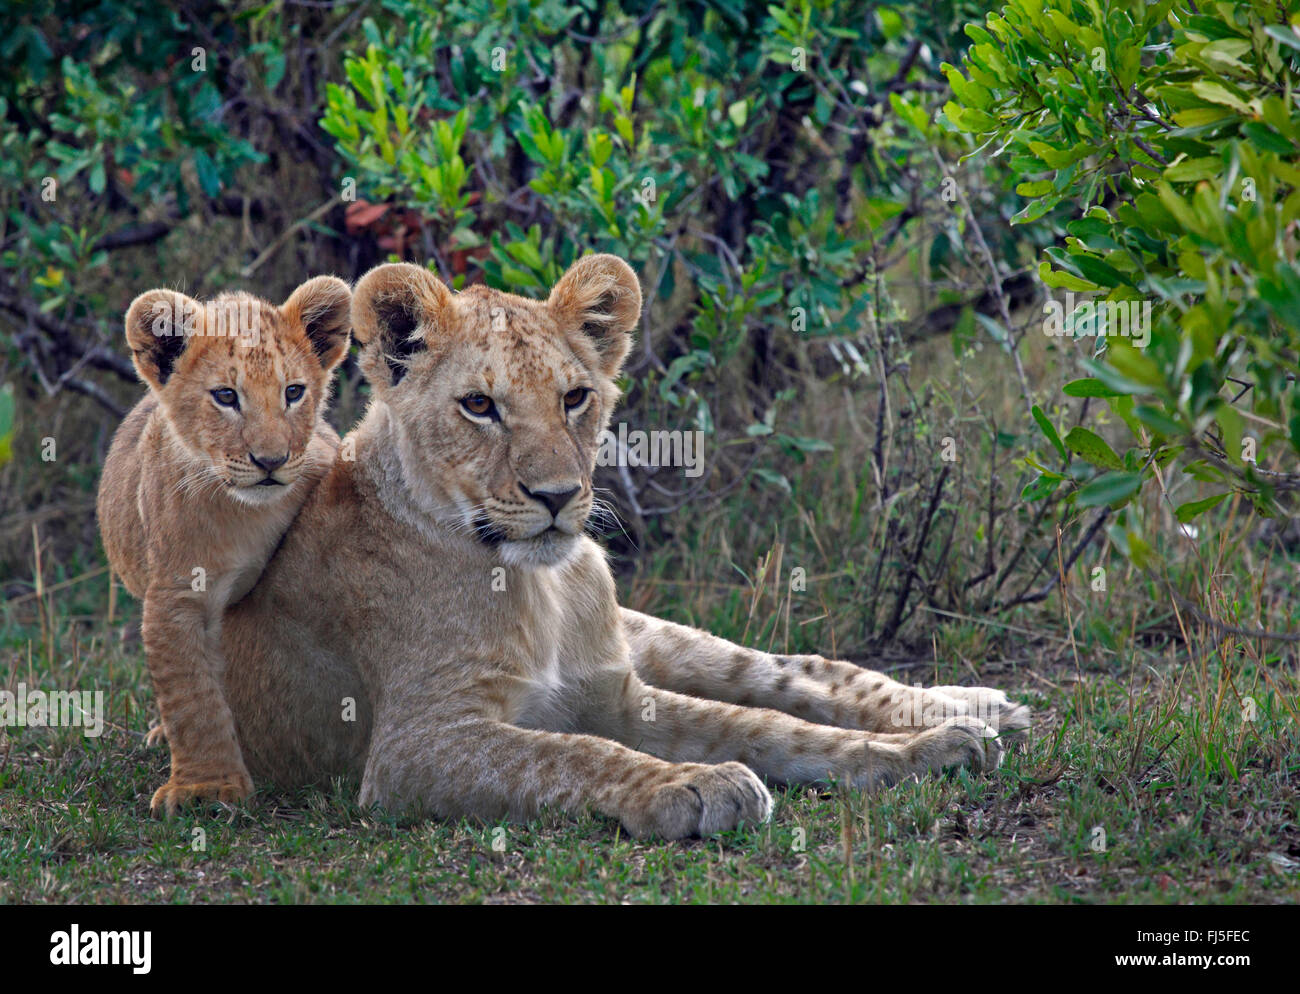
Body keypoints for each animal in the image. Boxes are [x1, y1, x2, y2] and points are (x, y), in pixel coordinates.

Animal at [97, 277, 351, 815]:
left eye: (293, 392)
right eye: (226, 396)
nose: (271, 460)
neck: (245, 514)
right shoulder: (176, 595)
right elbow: (191, 696)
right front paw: (205, 788)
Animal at [210, 255, 1029, 838]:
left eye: (574, 397)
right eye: (479, 405)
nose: (555, 497)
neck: (533, 586)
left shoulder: (616, 691)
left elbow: (768, 725)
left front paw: (919, 752)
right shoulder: (413, 748)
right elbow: (575, 753)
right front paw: (692, 784)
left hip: (656, 636)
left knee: (798, 672)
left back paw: (969, 708)